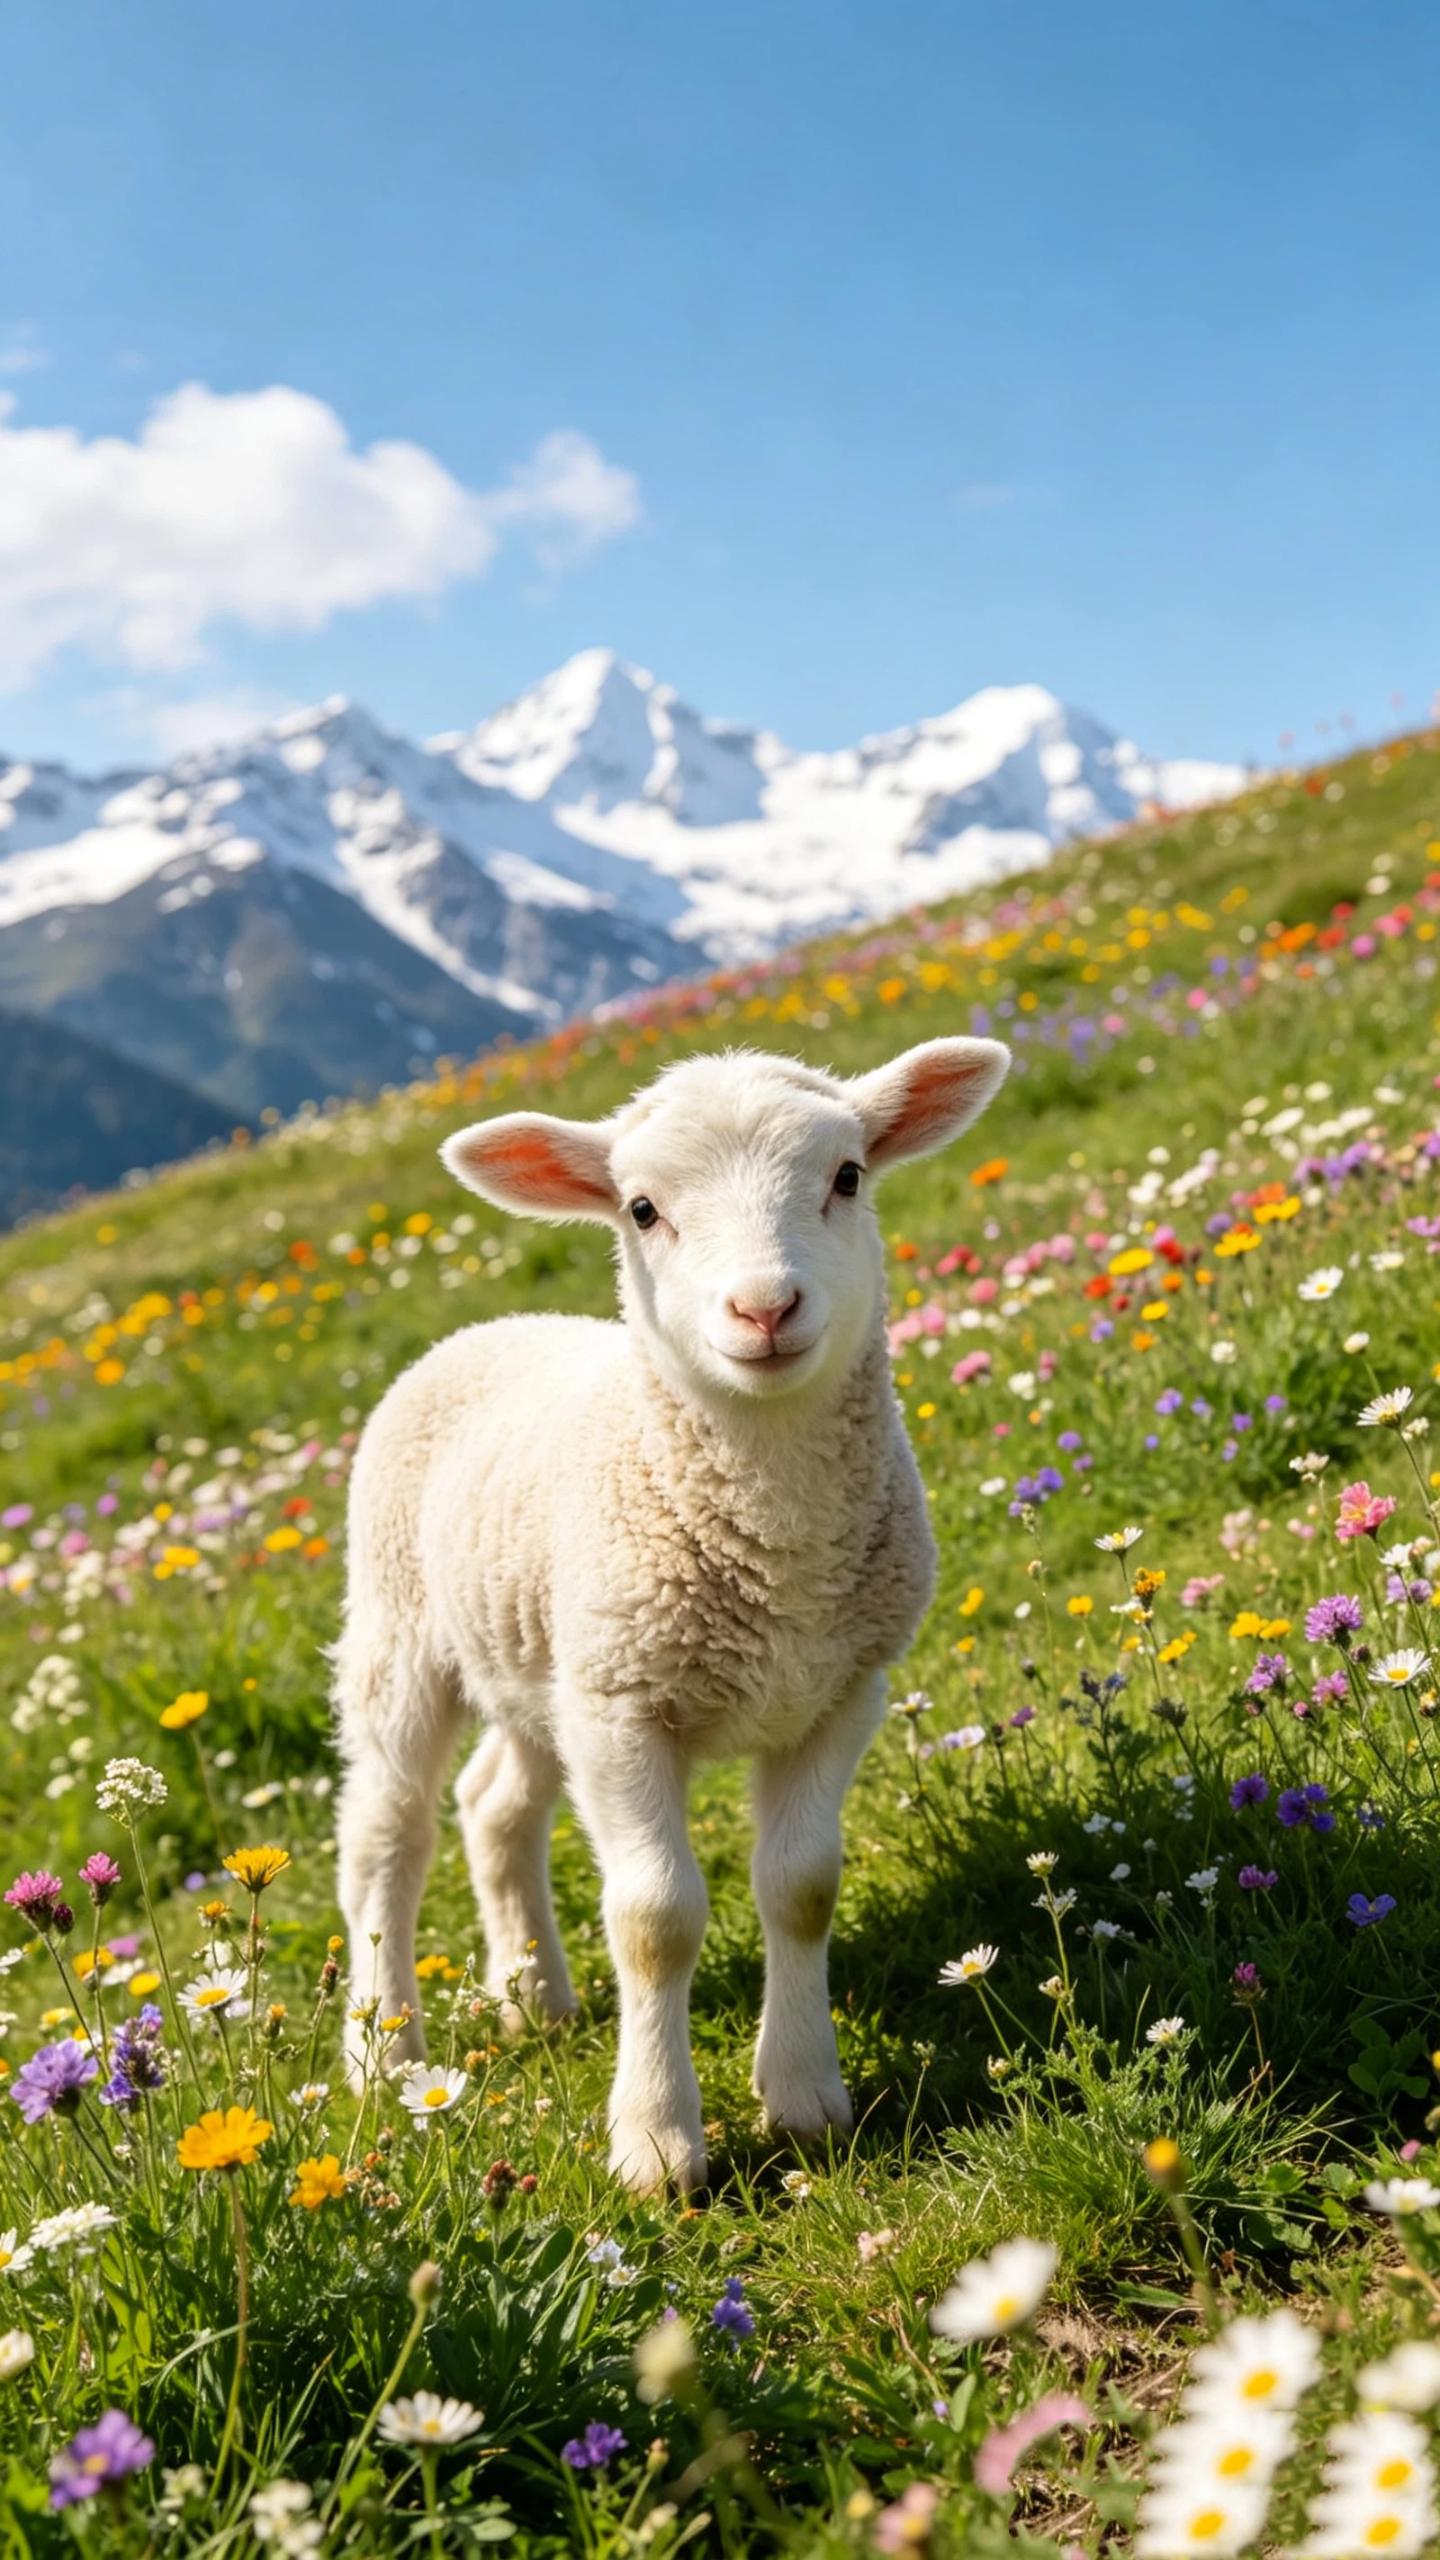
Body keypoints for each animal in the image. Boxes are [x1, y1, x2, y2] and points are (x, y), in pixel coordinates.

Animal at [333, 1035, 1010, 2193]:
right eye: (642, 1209)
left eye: (847, 1176)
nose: (765, 1309)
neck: (778, 1553)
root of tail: (485, 1328)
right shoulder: (624, 1709)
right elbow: (656, 1918)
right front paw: (656, 2144)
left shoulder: (840, 1689)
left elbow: (802, 1886)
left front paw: (805, 2099)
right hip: (404, 1632)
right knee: (387, 1833)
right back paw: (384, 2052)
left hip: (541, 1657)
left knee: (493, 1804)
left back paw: (535, 1999)